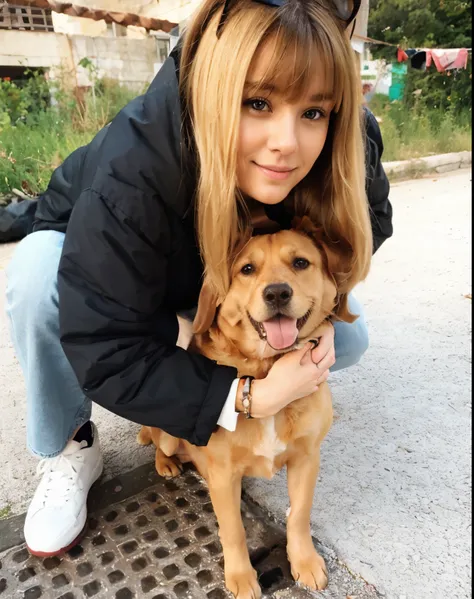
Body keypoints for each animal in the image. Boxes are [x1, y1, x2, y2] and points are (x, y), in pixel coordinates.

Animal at [137, 219, 356, 599]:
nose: (277, 293)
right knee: (159, 443)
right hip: (167, 434)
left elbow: (299, 515)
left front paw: (304, 561)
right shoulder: (224, 476)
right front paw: (240, 576)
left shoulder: (306, 458)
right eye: (247, 269)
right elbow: (234, 531)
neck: (265, 370)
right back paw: (167, 463)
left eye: (300, 262)